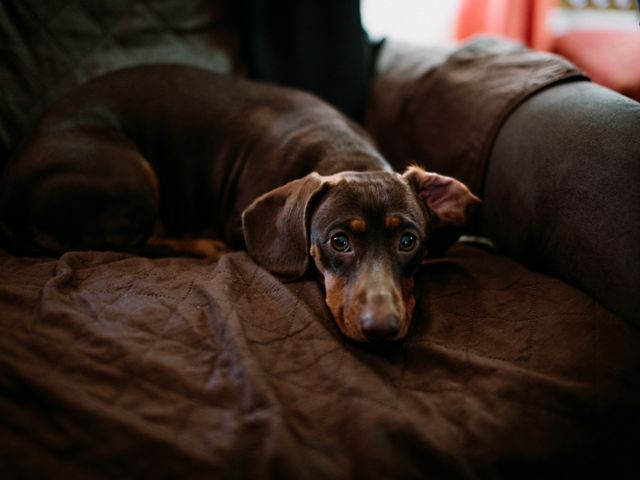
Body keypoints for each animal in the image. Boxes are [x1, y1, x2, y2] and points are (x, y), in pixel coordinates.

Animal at [0, 65, 480, 344]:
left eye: (408, 241)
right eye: (339, 241)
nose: (381, 329)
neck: (344, 152)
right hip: (130, 172)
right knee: (129, 240)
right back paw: (198, 244)